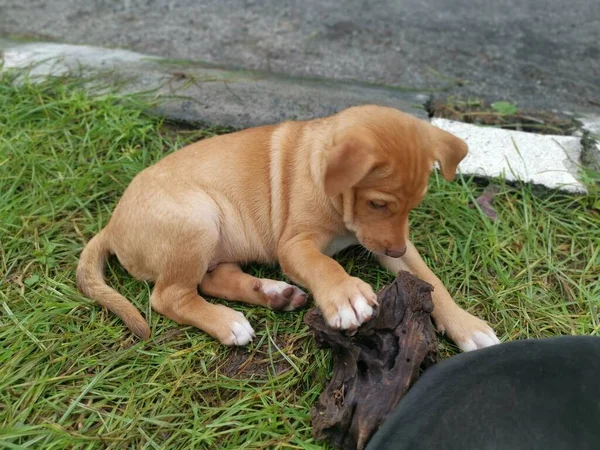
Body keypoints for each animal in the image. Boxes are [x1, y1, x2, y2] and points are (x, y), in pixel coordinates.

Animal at [77, 105, 500, 352]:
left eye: (414, 204)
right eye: (378, 203)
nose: (394, 251)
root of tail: (111, 225)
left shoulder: (387, 242)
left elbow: (431, 281)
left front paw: (467, 327)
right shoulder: (295, 244)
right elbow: (324, 264)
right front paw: (345, 295)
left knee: (210, 279)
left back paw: (273, 294)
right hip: (196, 220)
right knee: (169, 296)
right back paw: (227, 322)